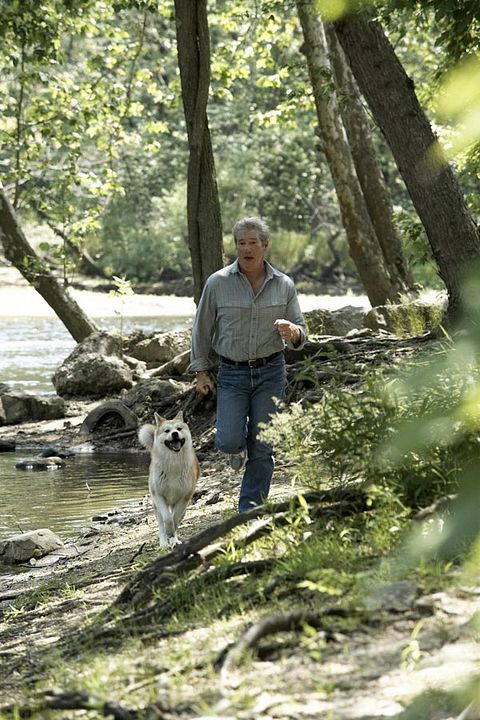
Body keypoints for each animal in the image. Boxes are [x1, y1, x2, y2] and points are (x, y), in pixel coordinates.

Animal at [138, 408, 200, 548]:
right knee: (161, 523)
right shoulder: (158, 495)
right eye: (167, 431)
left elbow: (175, 518)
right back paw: (164, 543)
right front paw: (167, 535)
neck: (173, 464)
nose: (175, 434)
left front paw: (173, 536)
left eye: (179, 428)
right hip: (157, 504)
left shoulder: (184, 498)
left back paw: (174, 540)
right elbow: (167, 519)